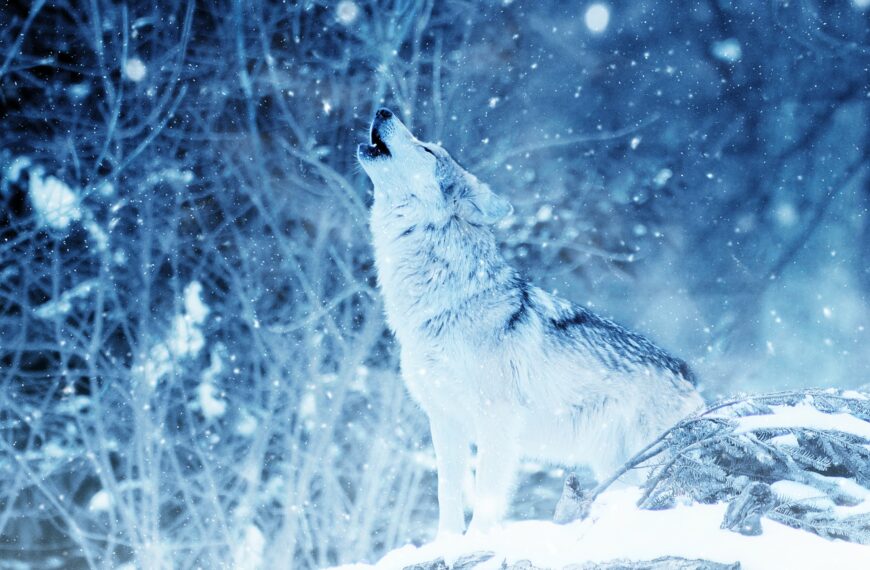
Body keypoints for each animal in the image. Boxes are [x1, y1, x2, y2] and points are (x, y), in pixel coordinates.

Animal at [357, 108, 704, 536]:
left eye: (427, 149)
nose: (383, 110)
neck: (445, 301)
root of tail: (689, 375)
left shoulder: (497, 421)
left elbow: (487, 499)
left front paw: (477, 542)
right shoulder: (445, 421)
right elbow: (447, 495)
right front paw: (446, 543)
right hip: (616, 466)